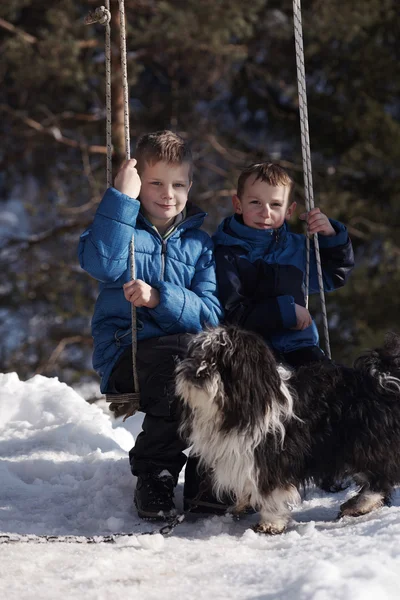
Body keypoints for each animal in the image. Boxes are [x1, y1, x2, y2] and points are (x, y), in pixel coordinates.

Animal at [176, 328, 400, 536]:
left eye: (221, 362)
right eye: (198, 355)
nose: (196, 373)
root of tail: (382, 380)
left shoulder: (272, 457)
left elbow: (271, 492)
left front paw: (270, 523)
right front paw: (242, 503)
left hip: (363, 443)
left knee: (382, 475)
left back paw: (359, 504)